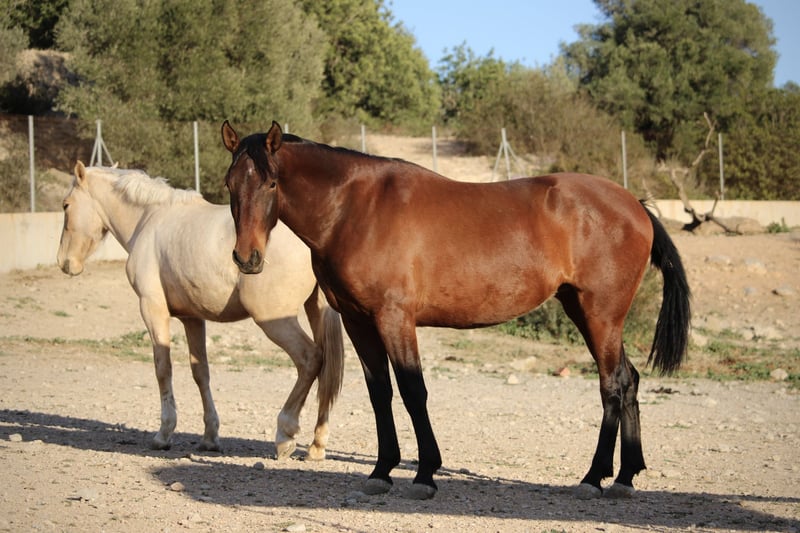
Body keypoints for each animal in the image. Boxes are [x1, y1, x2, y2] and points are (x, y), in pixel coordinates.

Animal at [57, 161, 344, 460]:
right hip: (314, 310)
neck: (149, 219)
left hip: (274, 321)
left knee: (310, 359)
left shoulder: (153, 310)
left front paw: (164, 434)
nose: (65, 262)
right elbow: (201, 373)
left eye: (66, 205)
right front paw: (210, 437)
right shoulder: (192, 318)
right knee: (327, 370)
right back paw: (316, 444)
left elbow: (163, 369)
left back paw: (285, 434)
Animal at [220, 121, 691, 500]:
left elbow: (413, 391)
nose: (247, 258)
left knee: (612, 385)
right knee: (628, 380)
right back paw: (626, 477)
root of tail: (635, 205)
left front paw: (425, 474)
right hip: (586, 312)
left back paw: (594, 479)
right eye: (229, 184)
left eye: (272, 184)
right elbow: (380, 393)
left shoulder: (395, 318)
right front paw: (381, 471)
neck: (355, 209)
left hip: (600, 315)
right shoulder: (358, 321)